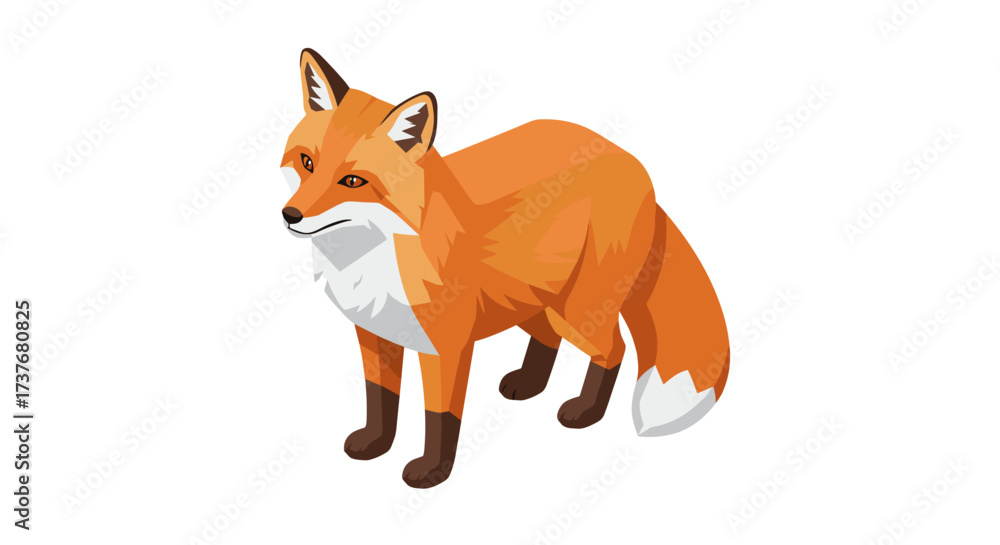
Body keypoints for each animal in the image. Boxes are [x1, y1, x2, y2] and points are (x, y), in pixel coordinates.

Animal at [279, 49, 730, 488]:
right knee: (549, 336)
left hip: (579, 312)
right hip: (531, 302)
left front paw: (433, 472)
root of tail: (630, 159)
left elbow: (440, 416)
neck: (378, 257)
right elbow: (380, 399)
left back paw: (585, 412)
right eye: (306, 163)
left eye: (353, 182)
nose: (290, 215)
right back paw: (529, 384)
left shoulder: (447, 346)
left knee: (614, 349)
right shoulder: (374, 334)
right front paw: (375, 443)